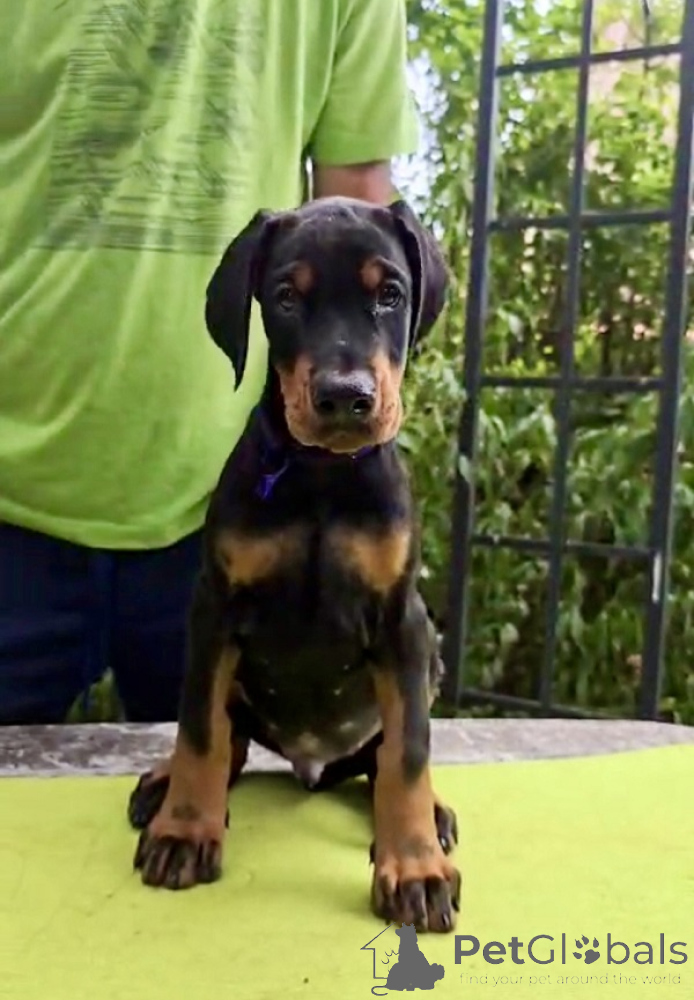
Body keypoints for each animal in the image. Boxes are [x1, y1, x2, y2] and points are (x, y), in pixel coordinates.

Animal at [128, 196, 461, 933]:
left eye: (389, 294)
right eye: (285, 297)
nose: (345, 398)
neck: (320, 478)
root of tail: (313, 765)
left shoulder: (402, 622)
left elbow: (409, 753)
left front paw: (415, 867)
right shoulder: (216, 606)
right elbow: (200, 731)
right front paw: (185, 830)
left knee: (382, 758)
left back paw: (433, 815)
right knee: (228, 736)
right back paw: (165, 788)